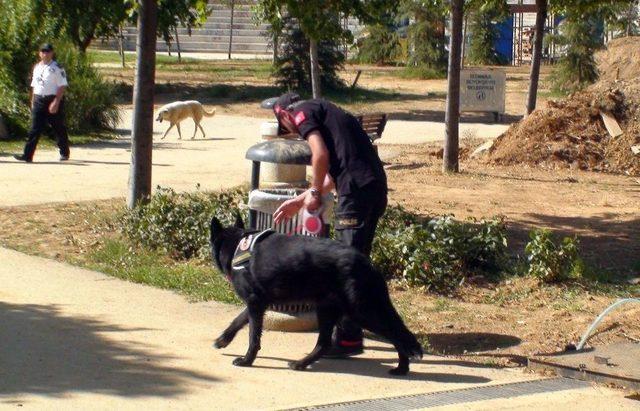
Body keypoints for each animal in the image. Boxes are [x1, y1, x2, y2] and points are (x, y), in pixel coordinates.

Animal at [208, 216, 422, 376]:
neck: (236, 244)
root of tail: (367, 264)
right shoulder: (259, 303)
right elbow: (238, 320)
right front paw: (223, 339)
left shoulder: (255, 303)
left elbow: (253, 336)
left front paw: (247, 360)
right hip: (329, 309)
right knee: (325, 343)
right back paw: (303, 363)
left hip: (361, 312)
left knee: (397, 335)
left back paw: (402, 367)